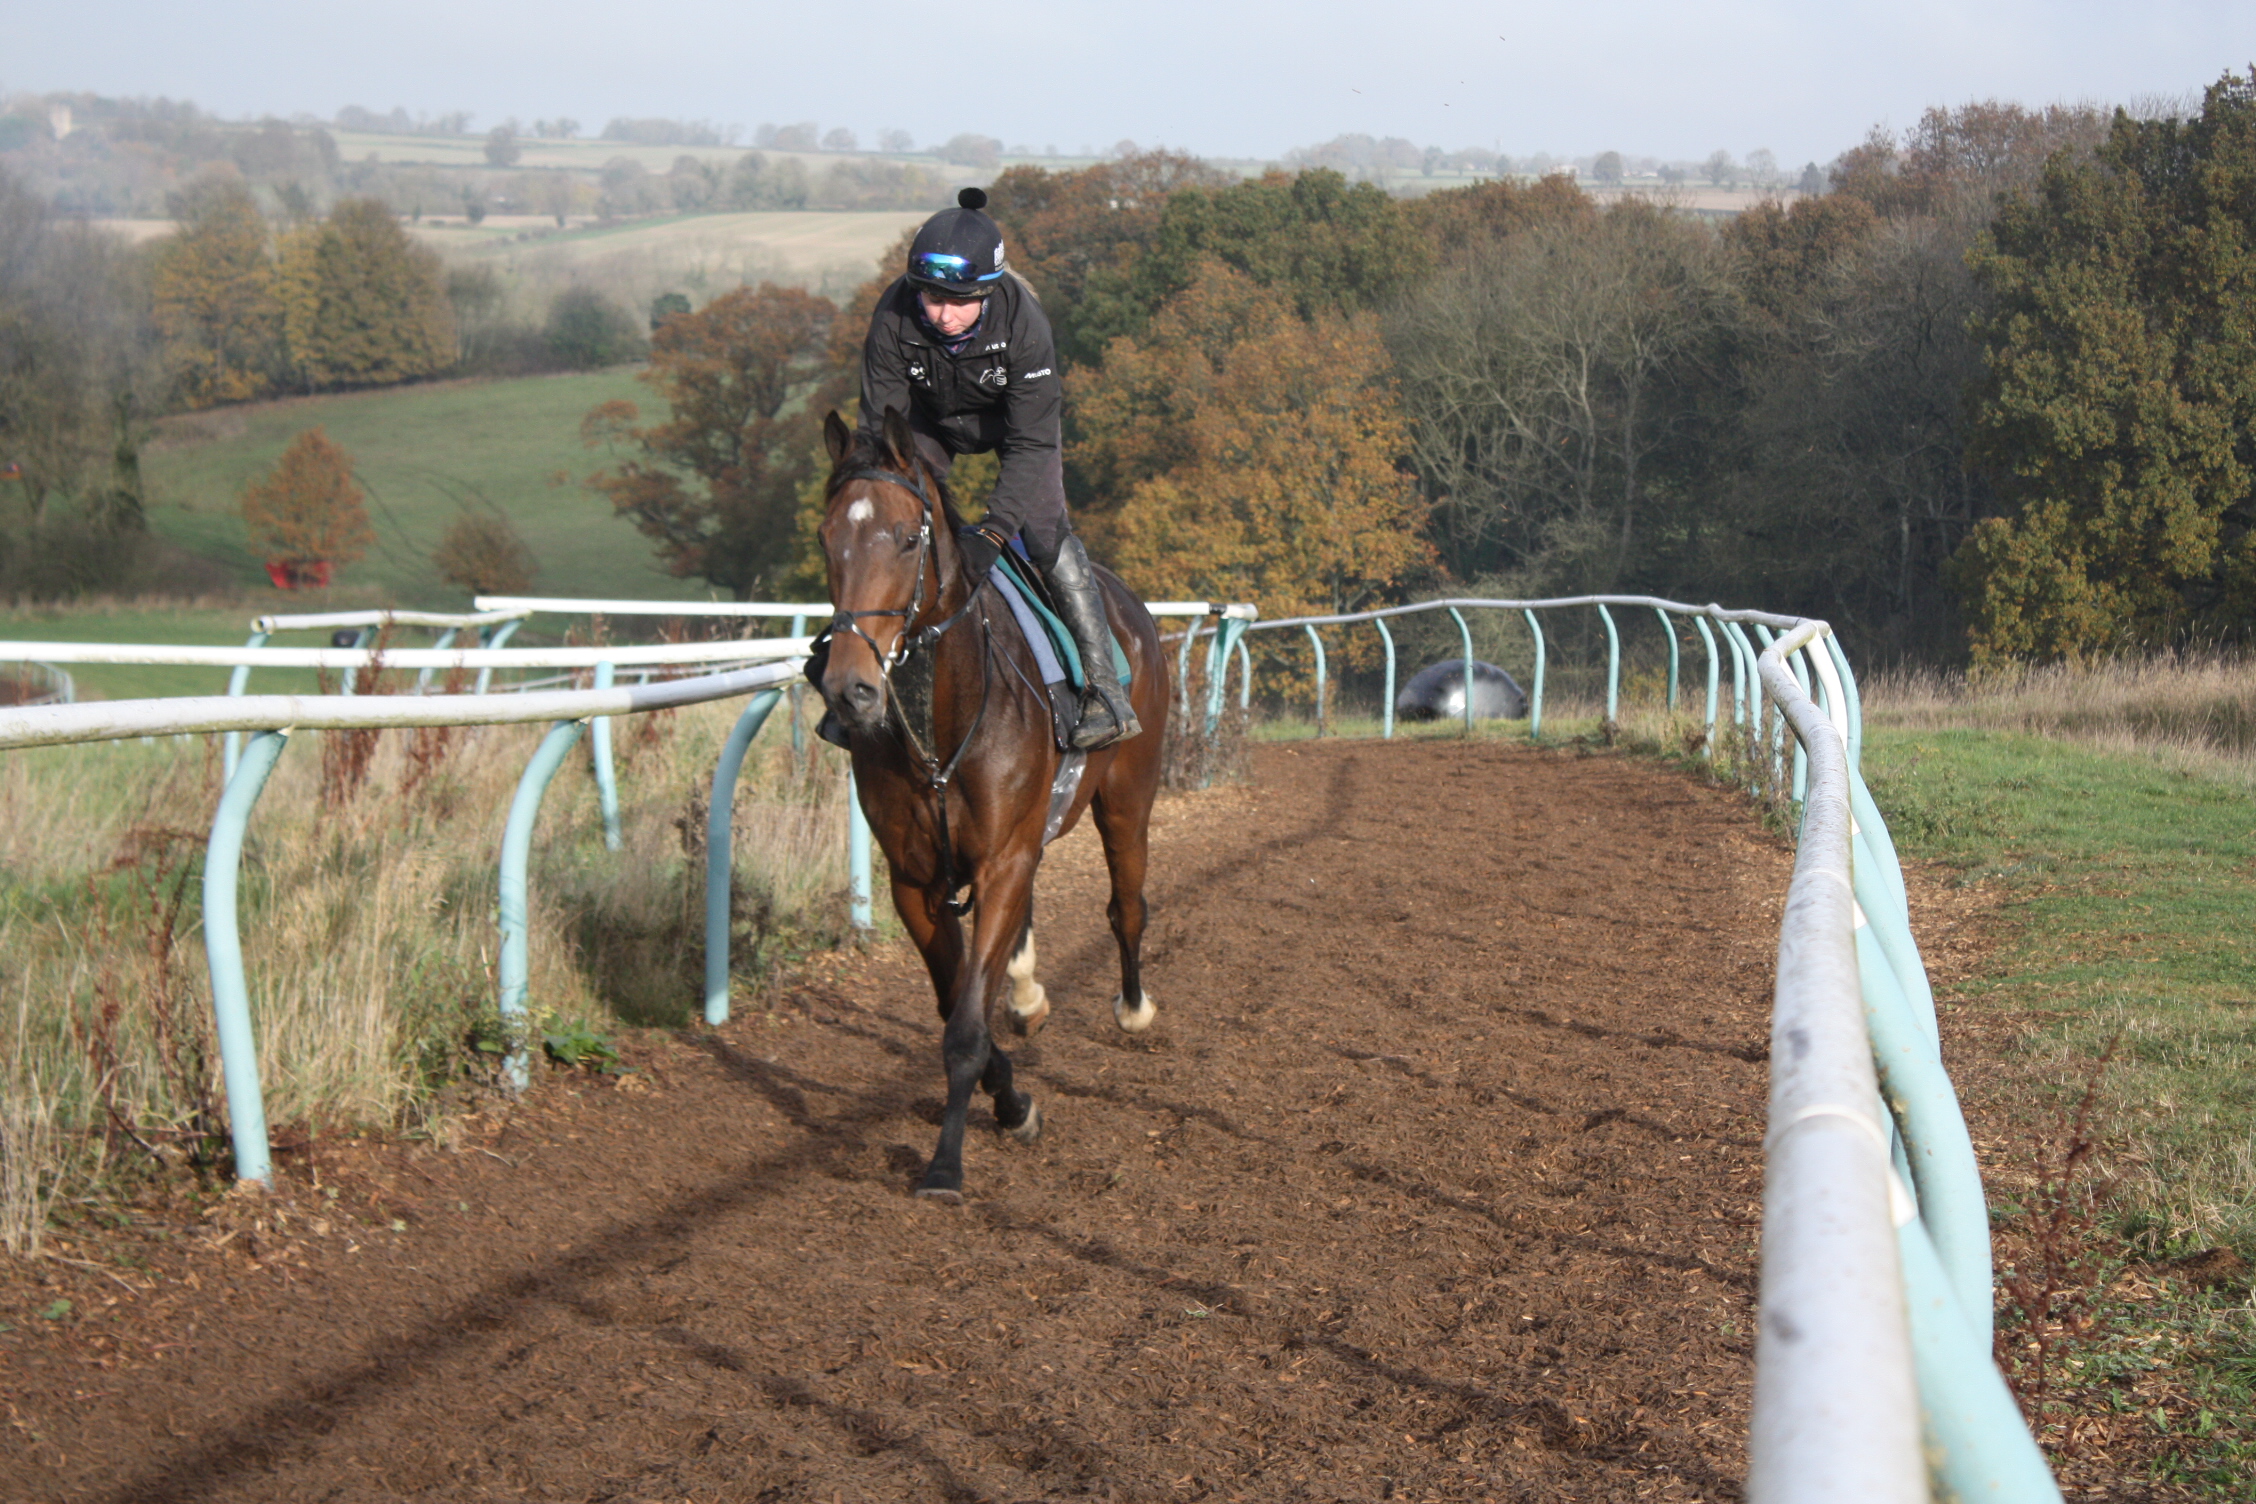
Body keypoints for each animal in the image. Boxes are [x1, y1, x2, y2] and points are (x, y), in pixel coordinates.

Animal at [812, 405, 1164, 1208]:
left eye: (908, 537)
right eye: (826, 539)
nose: (850, 690)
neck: (941, 720)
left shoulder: (1002, 859)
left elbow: (966, 1026)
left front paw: (947, 1162)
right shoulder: (915, 880)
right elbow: (956, 1004)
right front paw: (1009, 1098)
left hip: (1127, 798)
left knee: (1127, 906)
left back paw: (1132, 1006)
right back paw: (1027, 993)